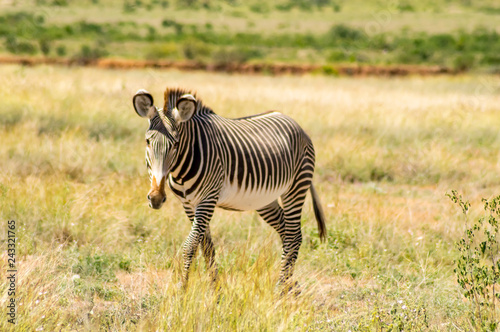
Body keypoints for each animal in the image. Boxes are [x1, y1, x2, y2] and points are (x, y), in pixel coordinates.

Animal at [134, 87, 328, 288]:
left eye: (176, 144)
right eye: (147, 142)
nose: (156, 198)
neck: (181, 169)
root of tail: (295, 123)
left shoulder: (207, 199)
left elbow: (190, 245)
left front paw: (183, 289)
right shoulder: (189, 204)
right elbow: (206, 246)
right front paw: (215, 289)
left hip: (296, 187)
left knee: (293, 236)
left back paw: (280, 288)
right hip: (265, 200)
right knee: (287, 232)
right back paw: (290, 285)